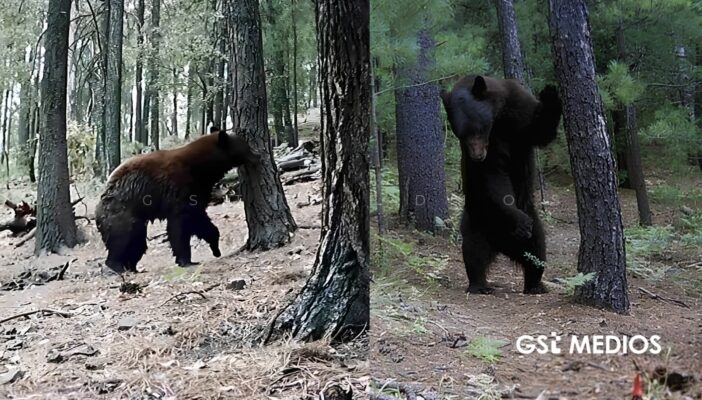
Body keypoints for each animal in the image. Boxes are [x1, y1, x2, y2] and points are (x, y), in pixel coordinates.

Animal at [95, 130, 259, 273]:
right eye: (246, 146)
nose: (257, 155)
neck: (201, 168)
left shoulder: (198, 190)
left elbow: (200, 219)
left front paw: (215, 247)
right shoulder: (180, 188)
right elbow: (180, 224)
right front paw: (185, 259)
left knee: (137, 243)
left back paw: (132, 267)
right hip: (122, 213)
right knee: (122, 238)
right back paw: (117, 265)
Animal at [440, 75, 562, 294]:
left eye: (478, 129)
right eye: (460, 134)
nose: (476, 156)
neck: (499, 118)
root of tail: (502, 244)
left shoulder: (518, 110)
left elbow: (540, 130)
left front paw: (550, 93)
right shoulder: (493, 148)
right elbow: (494, 177)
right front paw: (518, 219)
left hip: (529, 218)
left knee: (537, 249)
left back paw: (535, 284)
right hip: (477, 219)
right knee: (474, 251)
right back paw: (479, 285)